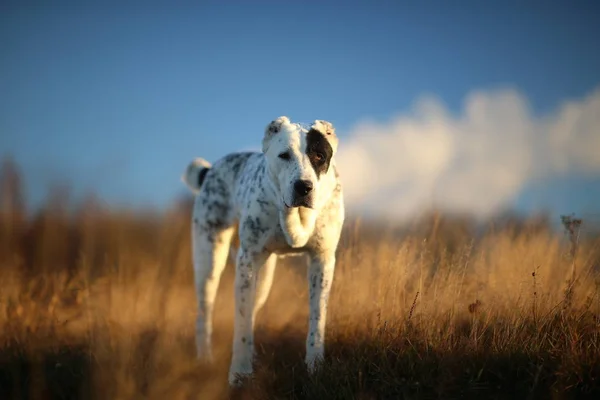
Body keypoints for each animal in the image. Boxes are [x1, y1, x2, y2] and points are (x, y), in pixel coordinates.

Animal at [180, 115, 344, 384]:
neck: (294, 216)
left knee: (252, 310)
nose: (304, 187)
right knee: (204, 315)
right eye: (284, 155)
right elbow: (242, 325)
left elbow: (317, 319)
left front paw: (315, 367)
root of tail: (210, 171)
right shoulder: (246, 262)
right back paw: (205, 360)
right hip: (210, 260)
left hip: (264, 276)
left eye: (319, 155)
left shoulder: (322, 260)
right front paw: (239, 373)